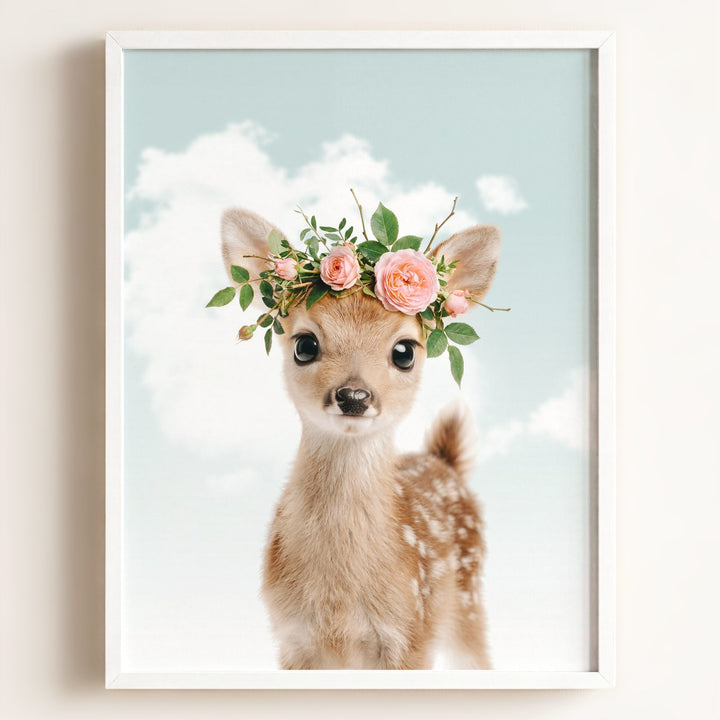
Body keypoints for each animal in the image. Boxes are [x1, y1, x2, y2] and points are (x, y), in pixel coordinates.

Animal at [220, 207, 501, 669]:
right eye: (305, 344)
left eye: (404, 351)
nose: (354, 396)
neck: (339, 601)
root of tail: (444, 461)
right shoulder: (292, 638)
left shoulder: (411, 634)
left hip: (468, 600)